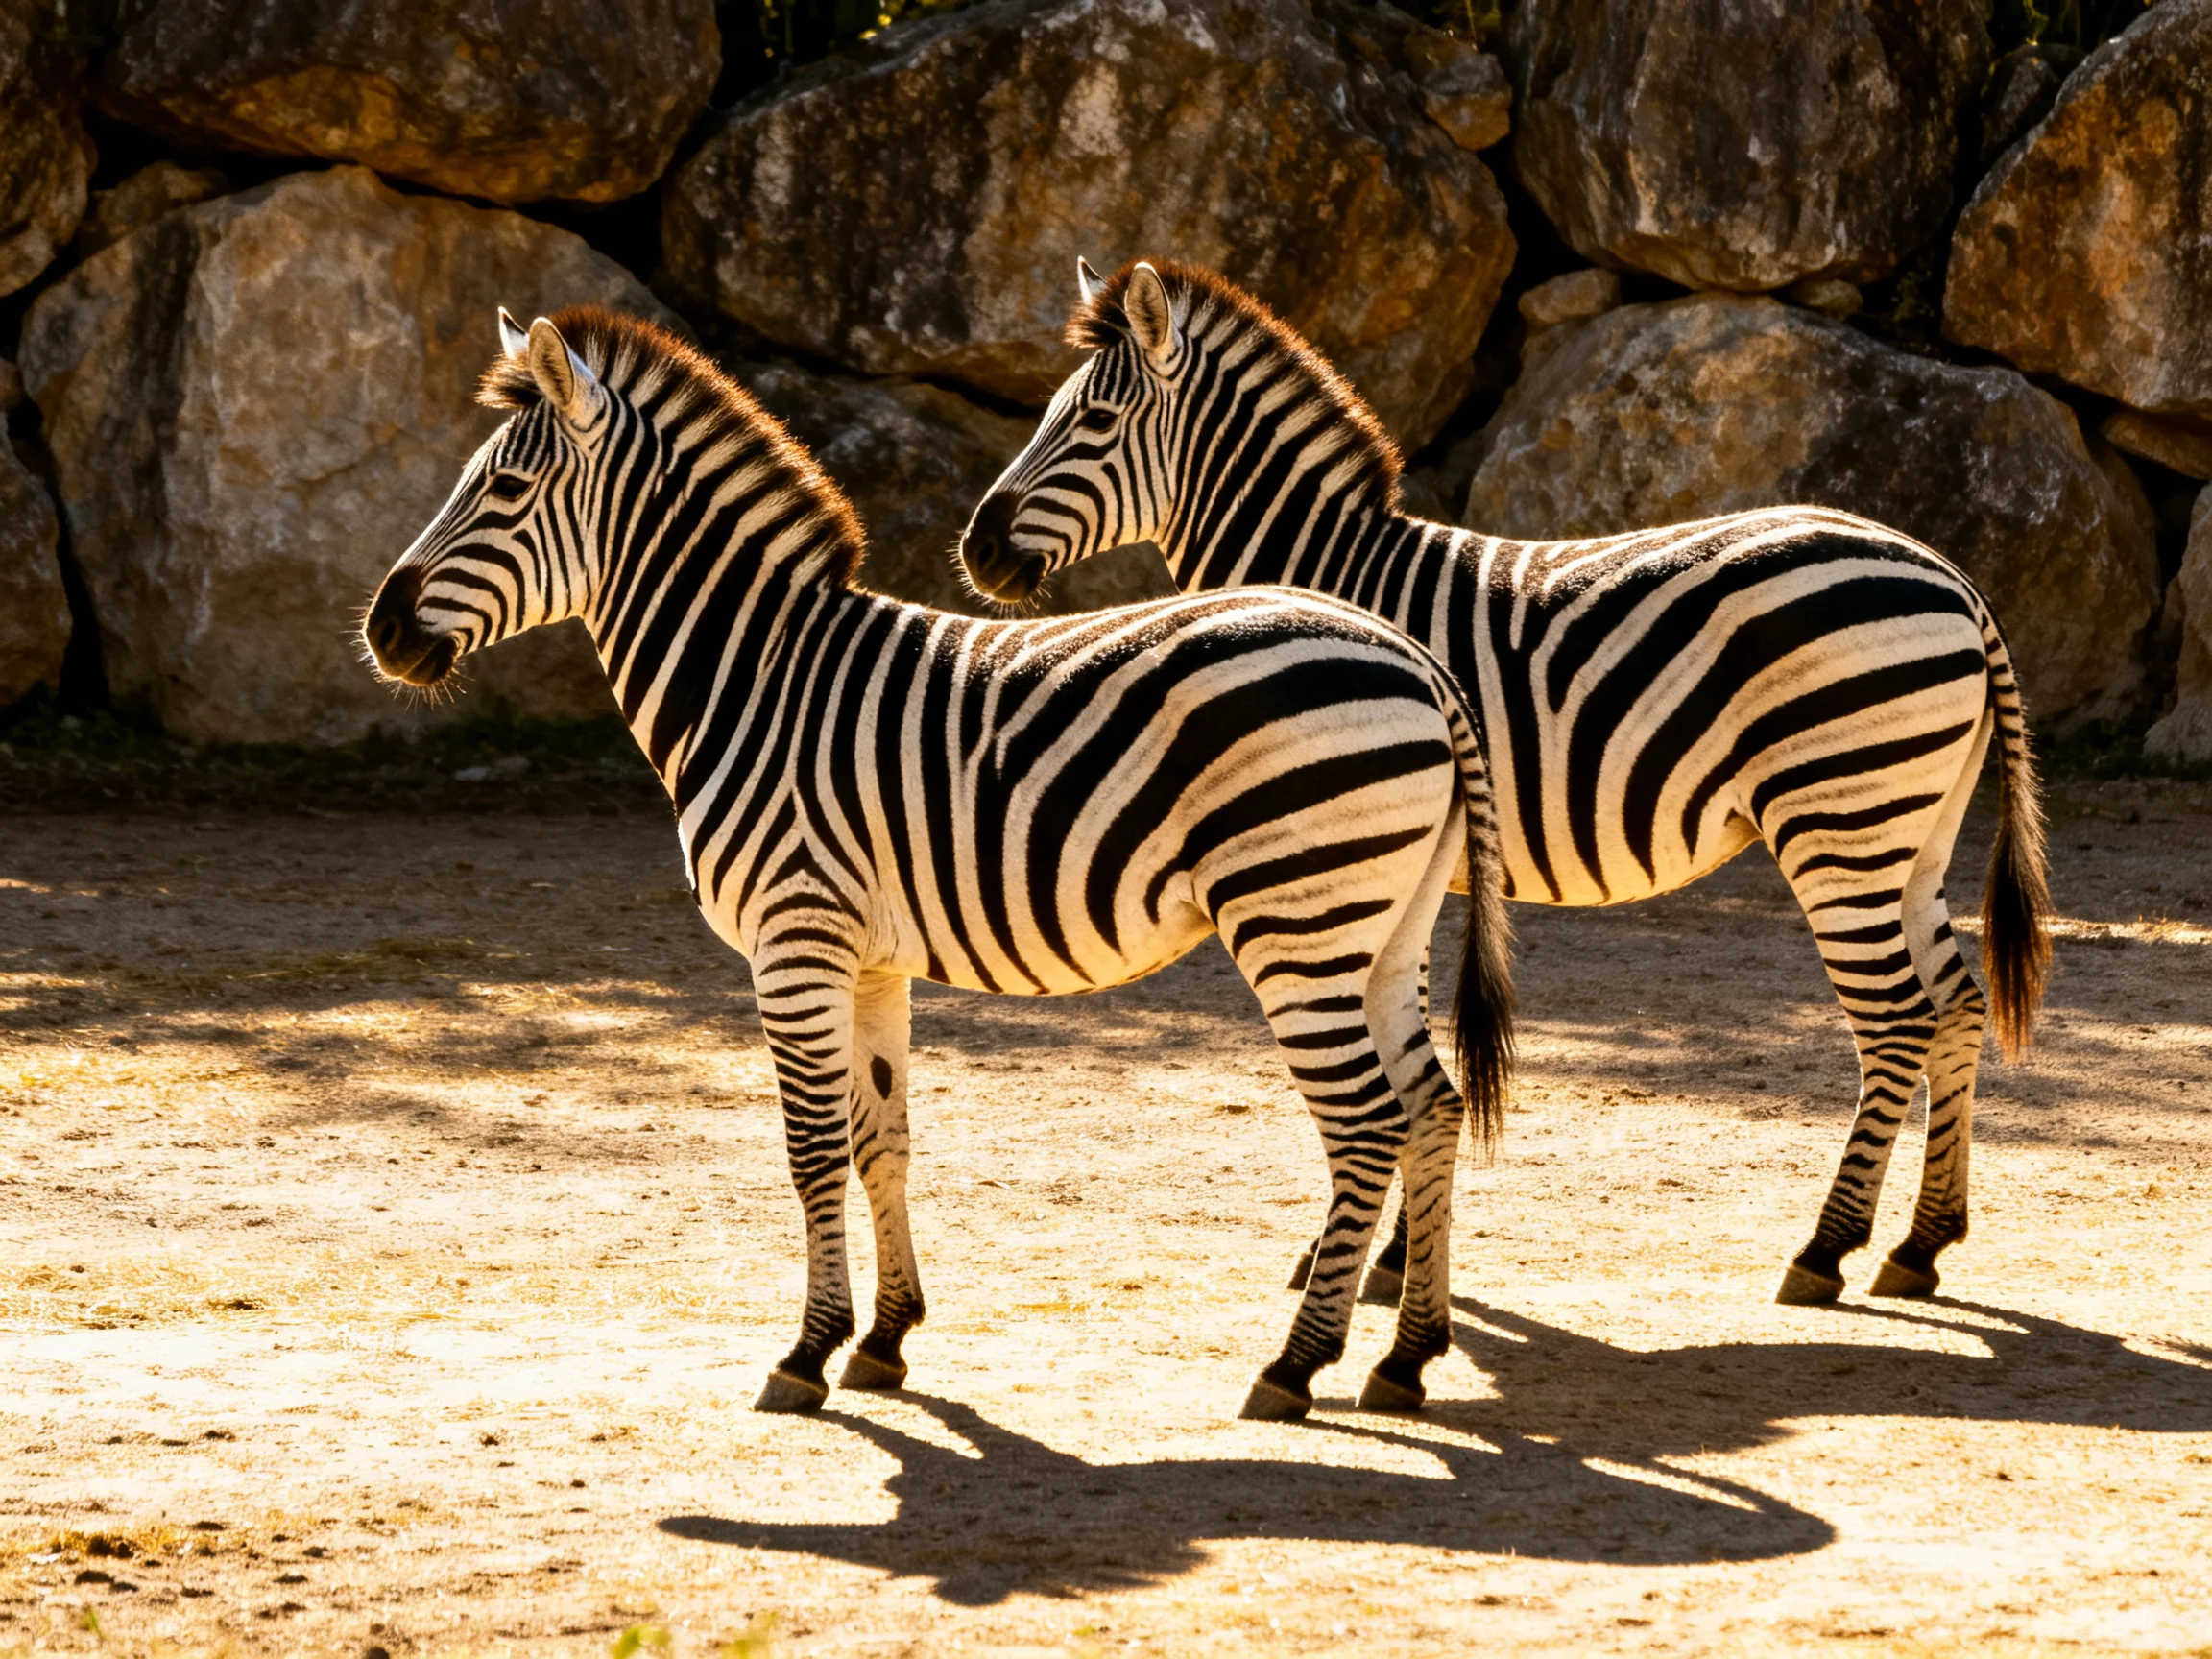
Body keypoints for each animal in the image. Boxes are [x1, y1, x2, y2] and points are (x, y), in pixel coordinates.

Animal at [361, 305, 1516, 1422]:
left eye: (505, 489)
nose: (380, 631)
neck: (753, 680)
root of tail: (1417, 659)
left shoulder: (795, 938)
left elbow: (811, 1149)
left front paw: (807, 1353)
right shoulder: (869, 958)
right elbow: (883, 1137)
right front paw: (885, 1339)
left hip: (1297, 920)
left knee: (1366, 1124)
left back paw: (1295, 1366)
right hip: (1385, 928)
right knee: (1432, 1107)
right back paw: (1408, 1357)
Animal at [958, 258, 2053, 1308]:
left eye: (1092, 424)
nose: (976, 550)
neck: (1329, 582)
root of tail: (1951, 576)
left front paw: (1371, 1260)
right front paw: (1391, 1259)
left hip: (1841, 817)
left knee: (1899, 1019)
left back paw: (1826, 1252)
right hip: (1913, 828)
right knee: (1956, 1005)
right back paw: (1922, 1244)